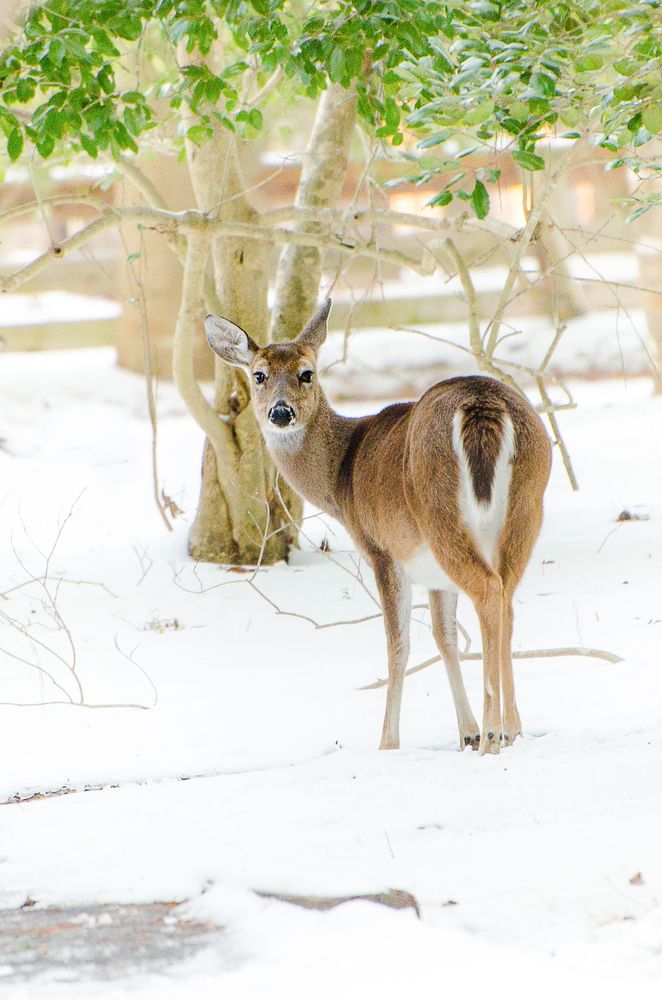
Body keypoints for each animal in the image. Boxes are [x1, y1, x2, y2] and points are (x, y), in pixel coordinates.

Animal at [205, 299, 552, 755]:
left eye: (306, 373)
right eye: (259, 375)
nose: (281, 412)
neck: (341, 476)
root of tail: (482, 406)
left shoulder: (382, 549)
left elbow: (398, 643)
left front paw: (388, 742)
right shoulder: (432, 574)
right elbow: (444, 637)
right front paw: (466, 731)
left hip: (437, 511)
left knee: (489, 591)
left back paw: (494, 736)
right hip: (527, 506)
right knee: (507, 601)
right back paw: (510, 729)